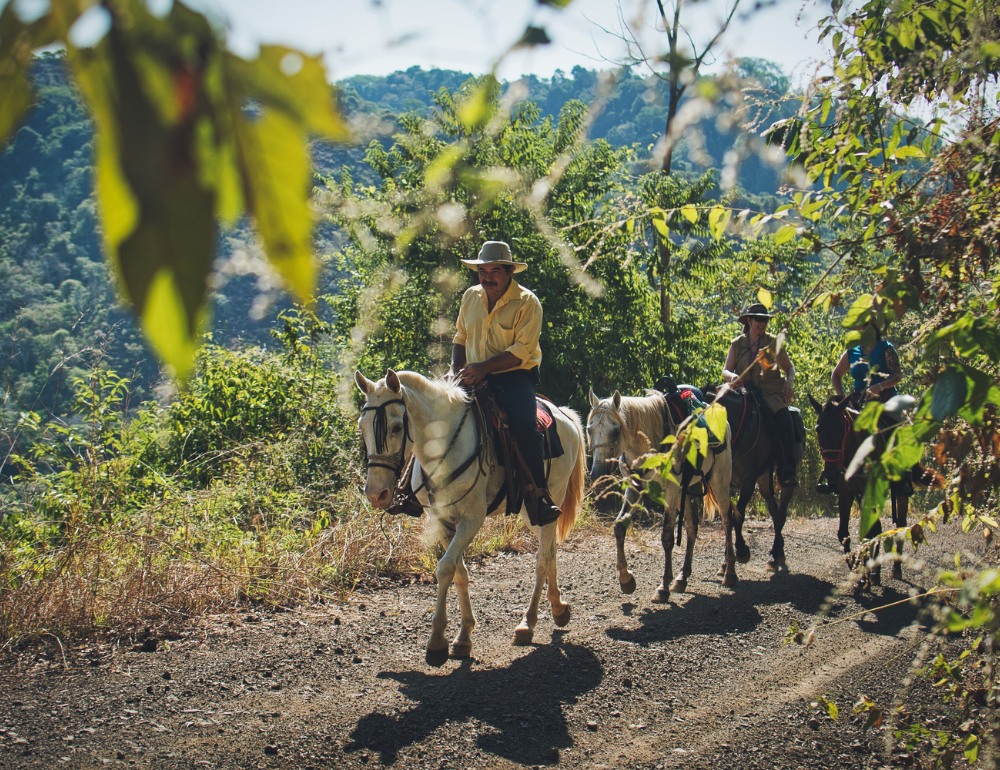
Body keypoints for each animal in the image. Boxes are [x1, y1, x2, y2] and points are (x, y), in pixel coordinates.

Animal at [356, 368, 584, 664]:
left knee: (542, 560)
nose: (376, 494)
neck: (445, 445)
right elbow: (459, 572)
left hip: (551, 498)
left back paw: (527, 624)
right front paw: (463, 637)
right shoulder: (441, 521)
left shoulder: (471, 520)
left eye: (396, 427)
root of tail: (564, 414)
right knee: (552, 550)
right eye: (362, 427)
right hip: (531, 512)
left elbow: (445, 569)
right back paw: (558, 608)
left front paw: (437, 642)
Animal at [588, 390, 740, 600]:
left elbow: (667, 537)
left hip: (719, 482)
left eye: (616, 431)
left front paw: (663, 587)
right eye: (589, 429)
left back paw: (729, 573)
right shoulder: (634, 489)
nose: (597, 475)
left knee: (727, 521)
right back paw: (682, 578)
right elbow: (619, 527)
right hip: (684, 492)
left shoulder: (670, 492)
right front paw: (626, 580)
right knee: (692, 525)